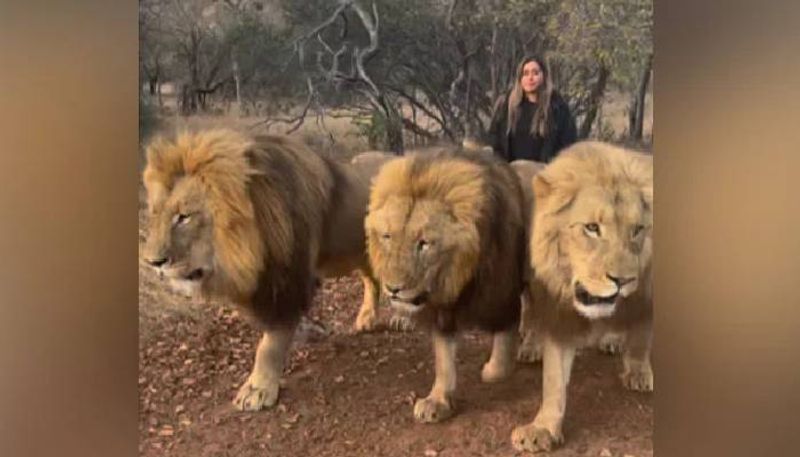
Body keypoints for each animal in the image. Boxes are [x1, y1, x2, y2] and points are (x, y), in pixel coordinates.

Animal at [145, 128, 396, 410]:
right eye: (155, 214)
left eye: (184, 217)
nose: (152, 262)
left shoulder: (287, 279)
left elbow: (270, 344)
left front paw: (257, 389)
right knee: (372, 281)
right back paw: (367, 318)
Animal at [366, 148, 528, 422]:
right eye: (388, 236)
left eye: (423, 243)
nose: (393, 288)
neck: (458, 278)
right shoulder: (442, 309)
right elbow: (444, 359)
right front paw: (438, 401)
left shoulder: (502, 291)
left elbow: (505, 336)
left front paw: (495, 370)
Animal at [510, 142, 652, 452]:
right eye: (592, 228)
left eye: (637, 230)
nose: (623, 281)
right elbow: (553, 378)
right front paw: (542, 429)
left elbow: (641, 335)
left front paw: (638, 372)